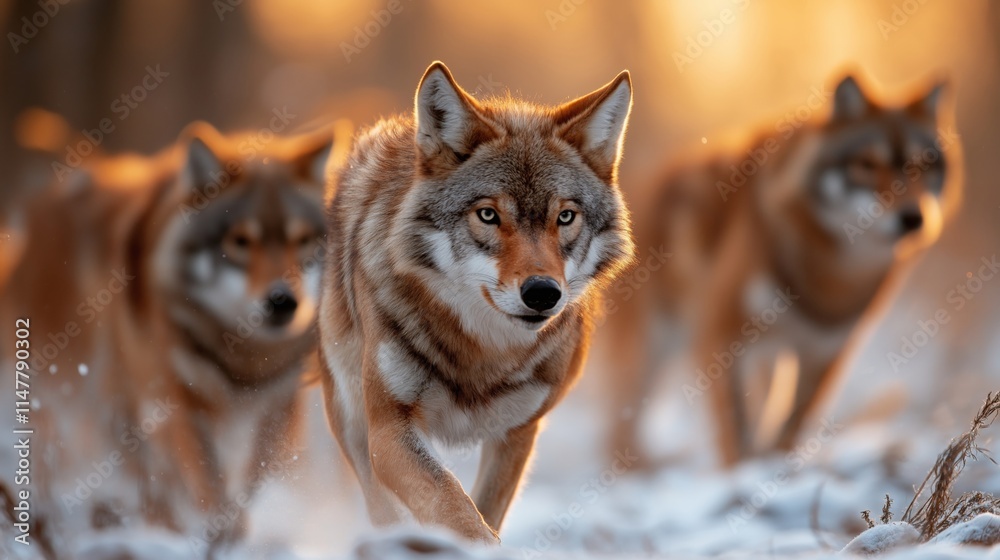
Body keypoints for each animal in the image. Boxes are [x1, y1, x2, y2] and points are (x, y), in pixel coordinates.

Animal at [0, 121, 333, 543]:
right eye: (240, 240)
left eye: (302, 240)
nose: (283, 301)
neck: (244, 359)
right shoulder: (176, 404)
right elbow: (208, 480)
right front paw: (225, 533)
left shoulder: (279, 405)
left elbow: (255, 477)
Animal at [319, 61, 635, 543]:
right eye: (488, 214)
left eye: (565, 217)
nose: (542, 292)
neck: (482, 355)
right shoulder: (388, 430)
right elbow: (451, 502)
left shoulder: (518, 433)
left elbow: (484, 509)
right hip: (351, 420)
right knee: (380, 509)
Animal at [606, 74, 962, 466]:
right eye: (867, 164)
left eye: (924, 165)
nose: (913, 218)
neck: (831, 271)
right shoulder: (720, 338)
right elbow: (736, 430)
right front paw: (740, 477)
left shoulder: (825, 350)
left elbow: (790, 428)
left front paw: (775, 469)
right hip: (650, 355)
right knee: (617, 432)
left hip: (766, 358)